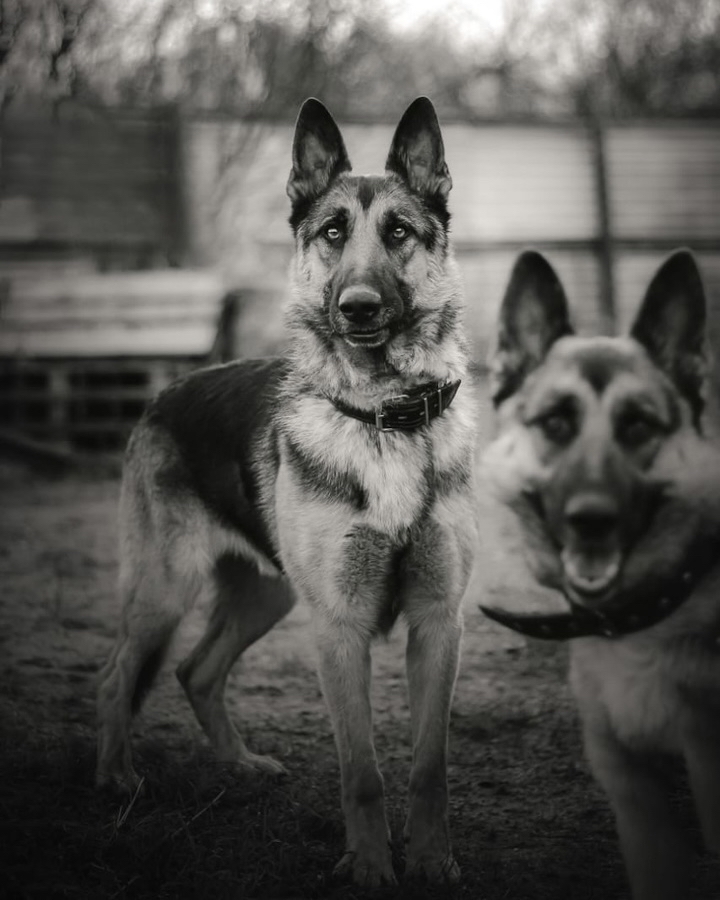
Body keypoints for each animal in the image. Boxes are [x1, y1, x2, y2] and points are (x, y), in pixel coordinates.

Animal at [95, 96, 478, 884]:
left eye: (399, 232)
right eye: (332, 232)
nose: (358, 307)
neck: (383, 415)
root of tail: (166, 392)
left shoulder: (438, 624)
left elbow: (429, 765)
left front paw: (431, 861)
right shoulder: (339, 628)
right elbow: (362, 771)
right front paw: (370, 868)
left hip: (264, 594)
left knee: (197, 671)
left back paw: (239, 764)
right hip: (164, 591)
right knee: (119, 675)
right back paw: (116, 778)